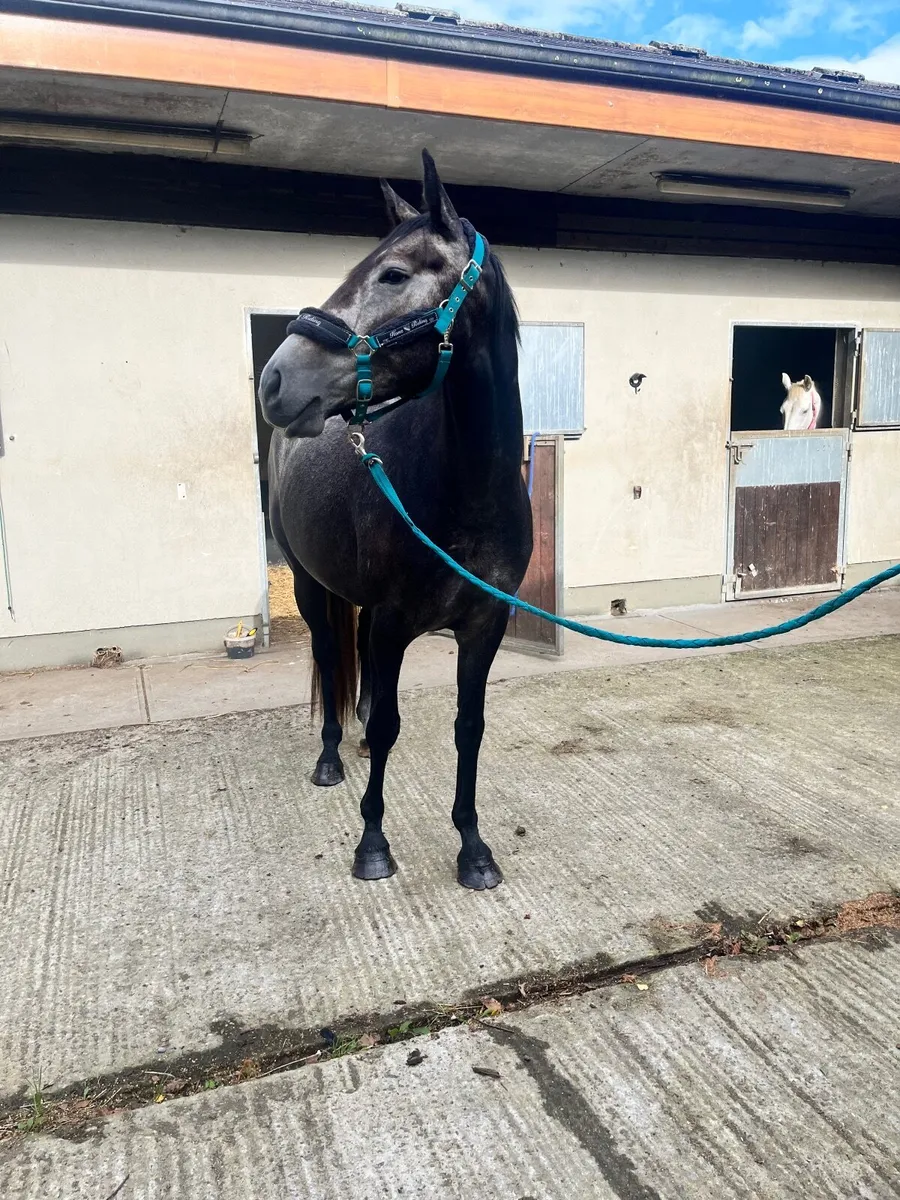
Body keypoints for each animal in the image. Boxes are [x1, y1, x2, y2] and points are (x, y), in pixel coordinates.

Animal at [258, 150, 532, 890]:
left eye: (395, 274)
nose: (274, 380)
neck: (467, 497)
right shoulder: (390, 624)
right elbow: (387, 726)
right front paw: (373, 843)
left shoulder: (485, 625)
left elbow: (470, 727)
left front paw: (473, 848)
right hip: (310, 588)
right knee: (331, 658)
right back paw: (330, 758)